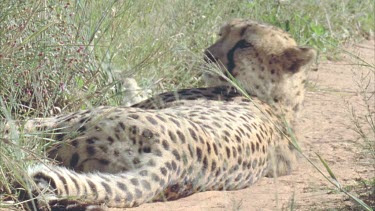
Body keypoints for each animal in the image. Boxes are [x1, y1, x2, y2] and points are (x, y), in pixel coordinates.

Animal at [7, 19, 316, 210]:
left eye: (244, 44)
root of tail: (173, 162)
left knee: (27, 132)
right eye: (221, 34)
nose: (207, 54)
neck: (282, 100)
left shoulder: (143, 104)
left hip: (80, 120)